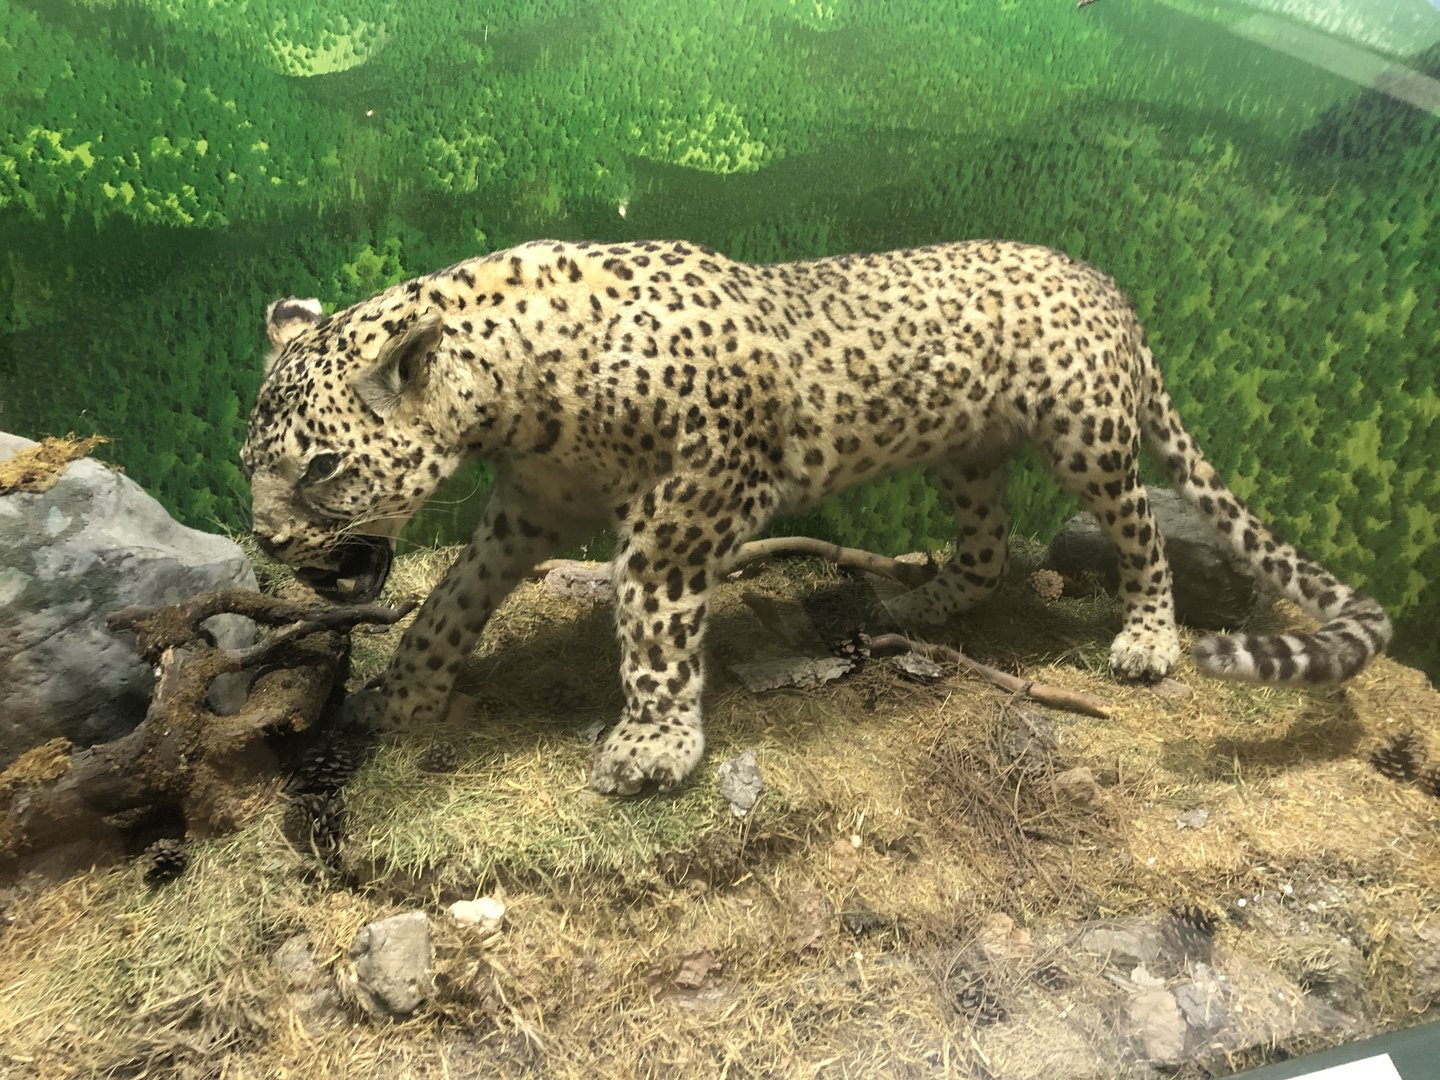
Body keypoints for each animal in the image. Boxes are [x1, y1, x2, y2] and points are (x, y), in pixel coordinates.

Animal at [242, 239, 1393, 795]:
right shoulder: (529, 508)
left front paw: (654, 746)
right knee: (985, 546)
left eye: (323, 467)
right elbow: (452, 600)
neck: (517, 394)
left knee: (1144, 533)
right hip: (967, 454)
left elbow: (651, 621)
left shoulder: (690, 503)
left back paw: (1146, 640)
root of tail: (1113, 289)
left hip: (1089, 436)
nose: (265, 540)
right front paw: (405, 694)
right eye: (250, 467)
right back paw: (915, 605)